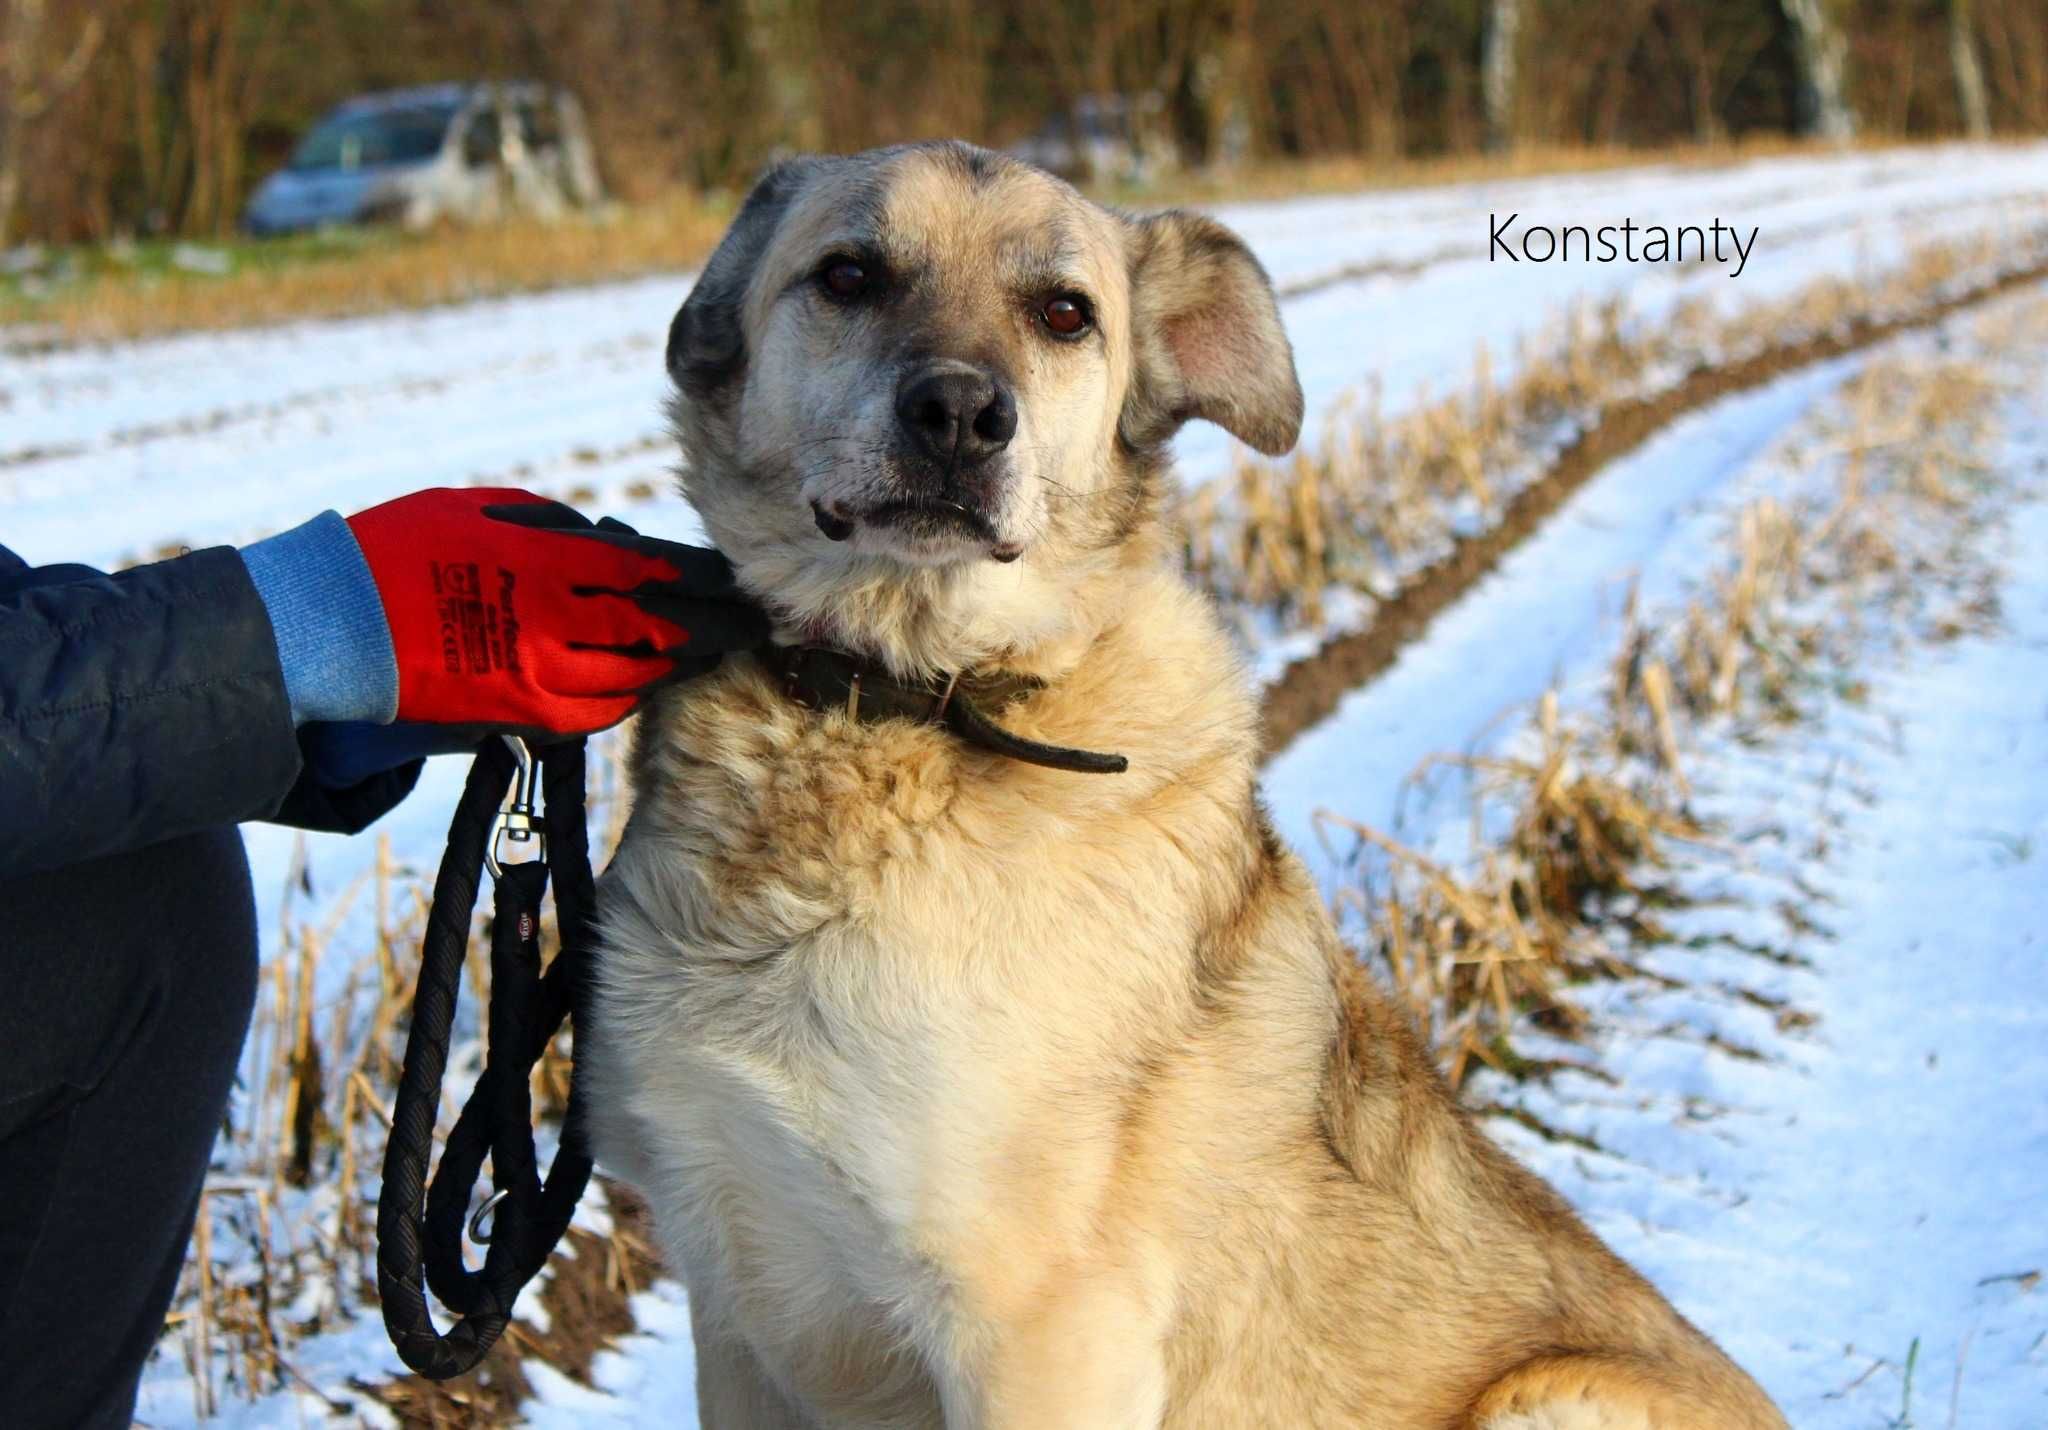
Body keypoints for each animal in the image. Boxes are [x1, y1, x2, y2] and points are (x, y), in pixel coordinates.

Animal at [585, 136, 1785, 1425]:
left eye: (1065, 314)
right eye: (848, 275)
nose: (959, 414)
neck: (900, 702)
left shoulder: (1039, 1332)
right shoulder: (737, 1303)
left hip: (1553, 1392)